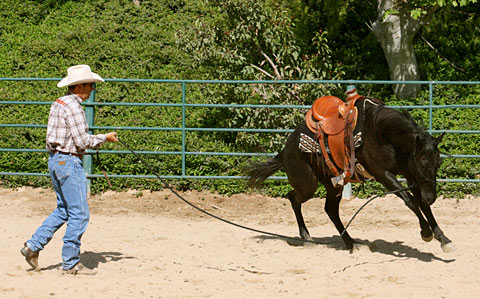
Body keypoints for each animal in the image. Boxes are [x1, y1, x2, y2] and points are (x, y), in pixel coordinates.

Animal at [246, 98, 456, 253]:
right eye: (424, 161)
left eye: (438, 163)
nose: (432, 197)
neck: (381, 133)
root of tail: (286, 148)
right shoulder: (384, 175)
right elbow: (410, 201)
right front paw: (426, 232)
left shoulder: (412, 175)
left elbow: (421, 204)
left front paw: (443, 239)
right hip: (307, 184)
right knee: (293, 198)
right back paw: (306, 237)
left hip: (332, 184)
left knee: (330, 209)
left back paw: (350, 242)